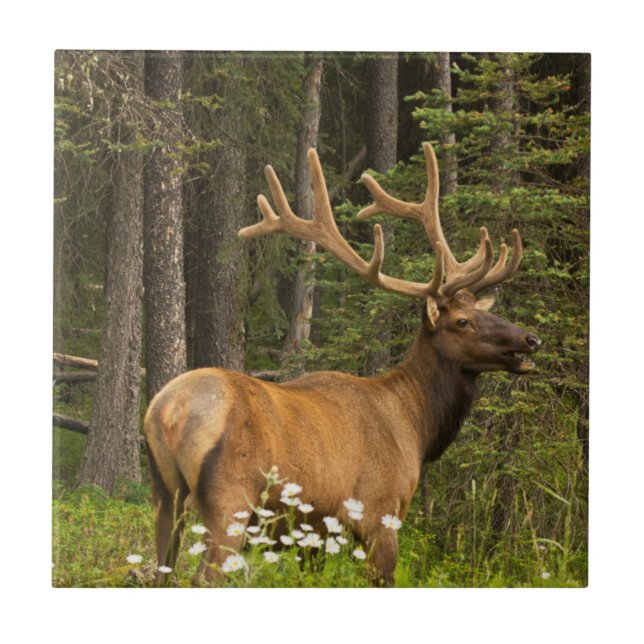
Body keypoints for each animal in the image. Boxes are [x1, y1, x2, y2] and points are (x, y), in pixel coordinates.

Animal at [143, 142, 541, 586]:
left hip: (164, 494)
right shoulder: (380, 512)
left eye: (483, 312)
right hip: (230, 499)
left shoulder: (313, 532)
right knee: (203, 577)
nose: (530, 340)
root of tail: (168, 411)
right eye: (462, 321)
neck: (416, 426)